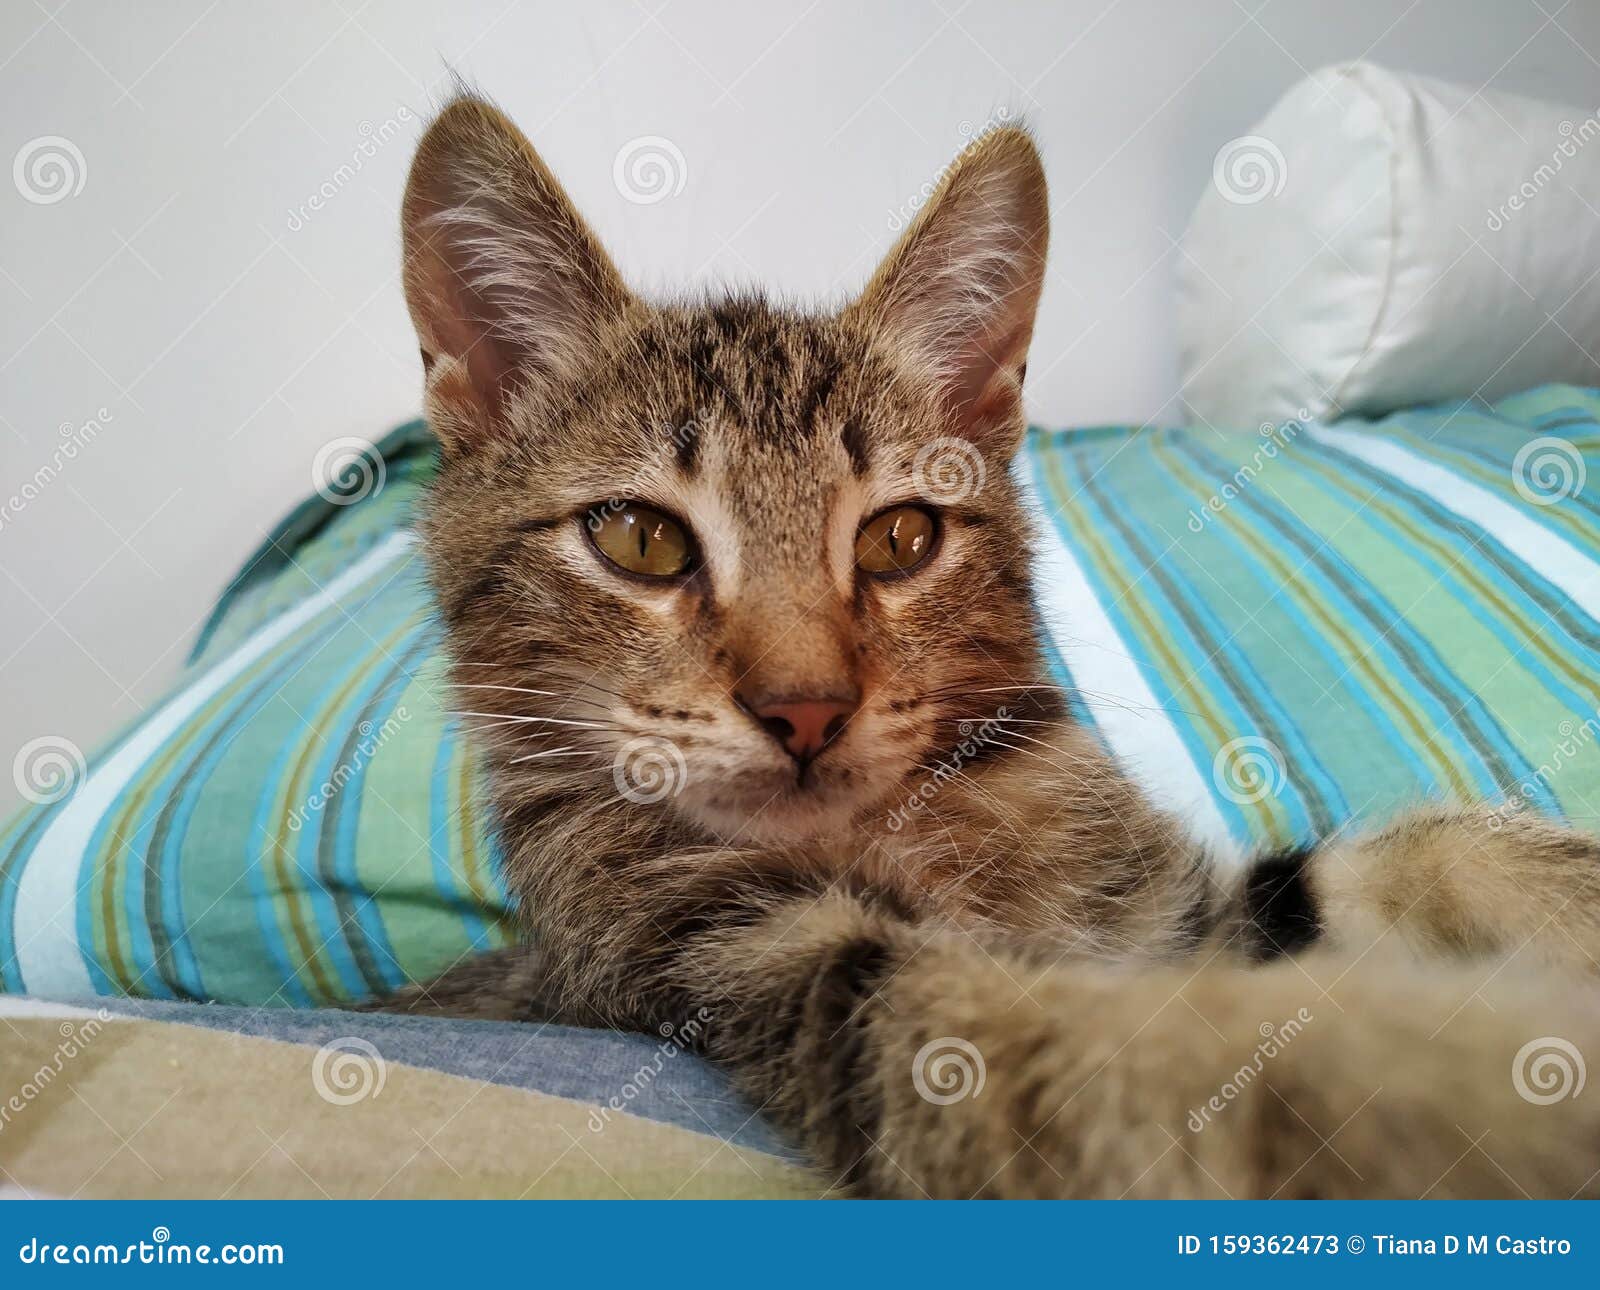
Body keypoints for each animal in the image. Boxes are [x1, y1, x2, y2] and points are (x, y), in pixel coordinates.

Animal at [384, 90, 1600, 1203]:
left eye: (899, 538)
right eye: (640, 539)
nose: (806, 709)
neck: (921, 826)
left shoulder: (1179, 924)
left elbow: (1424, 856)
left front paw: (1561, 902)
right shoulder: (762, 965)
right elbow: (1133, 1059)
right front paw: (1452, 1094)